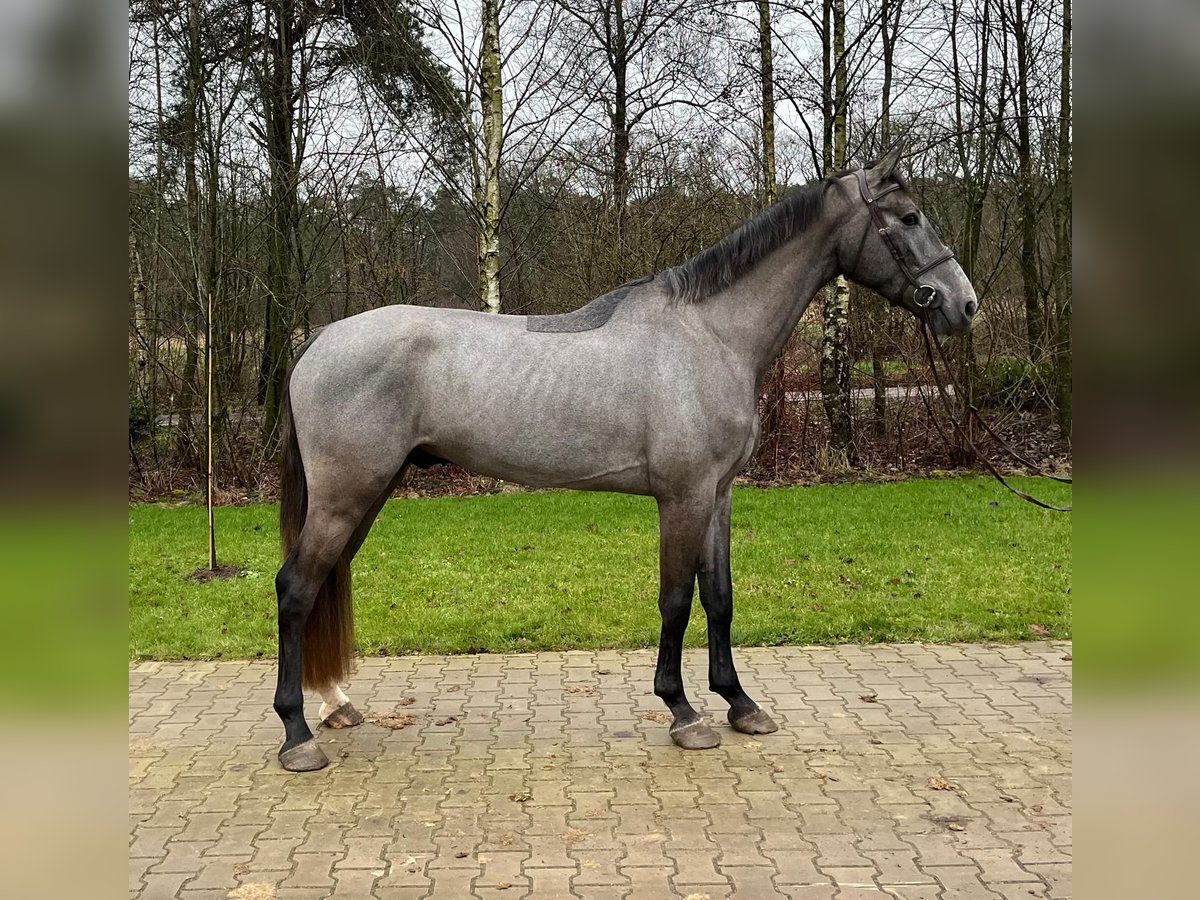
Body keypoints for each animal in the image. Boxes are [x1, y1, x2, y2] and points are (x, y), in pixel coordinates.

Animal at [272, 150, 974, 777]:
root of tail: (319, 341)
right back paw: (297, 735)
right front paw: (683, 712)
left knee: (325, 583)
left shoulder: (718, 494)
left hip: (367, 494)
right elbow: (676, 601)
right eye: (909, 217)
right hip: (346, 496)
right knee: (296, 588)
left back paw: (334, 705)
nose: (963, 306)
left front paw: (740, 703)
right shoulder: (683, 497)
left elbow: (719, 598)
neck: (711, 335)